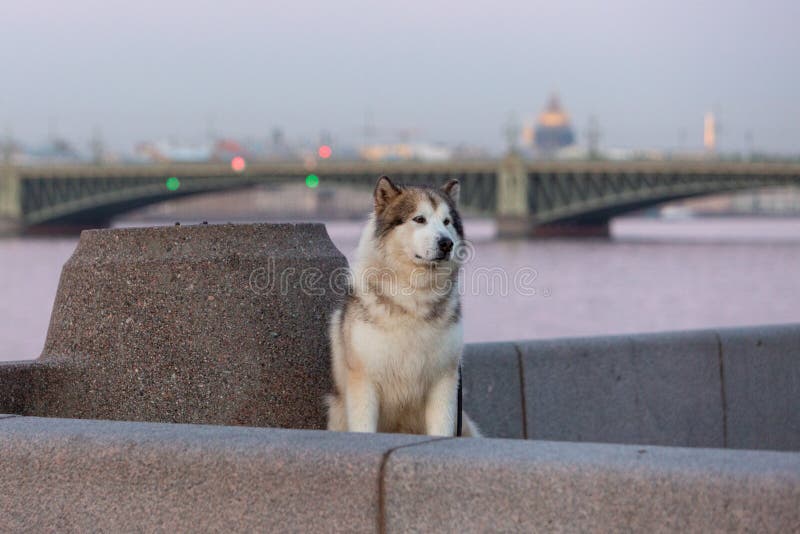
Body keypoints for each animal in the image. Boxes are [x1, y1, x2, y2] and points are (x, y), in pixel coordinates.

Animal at [326, 178, 478, 438]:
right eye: (419, 219)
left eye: (447, 222)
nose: (446, 243)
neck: (413, 297)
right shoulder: (364, 381)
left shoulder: (444, 380)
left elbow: (442, 429)